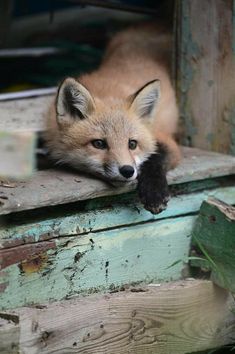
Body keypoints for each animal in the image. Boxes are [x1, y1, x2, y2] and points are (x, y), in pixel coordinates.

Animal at [45, 24, 181, 214]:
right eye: (99, 144)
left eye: (132, 144)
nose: (127, 170)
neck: (109, 92)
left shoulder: (165, 139)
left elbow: (155, 159)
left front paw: (154, 192)